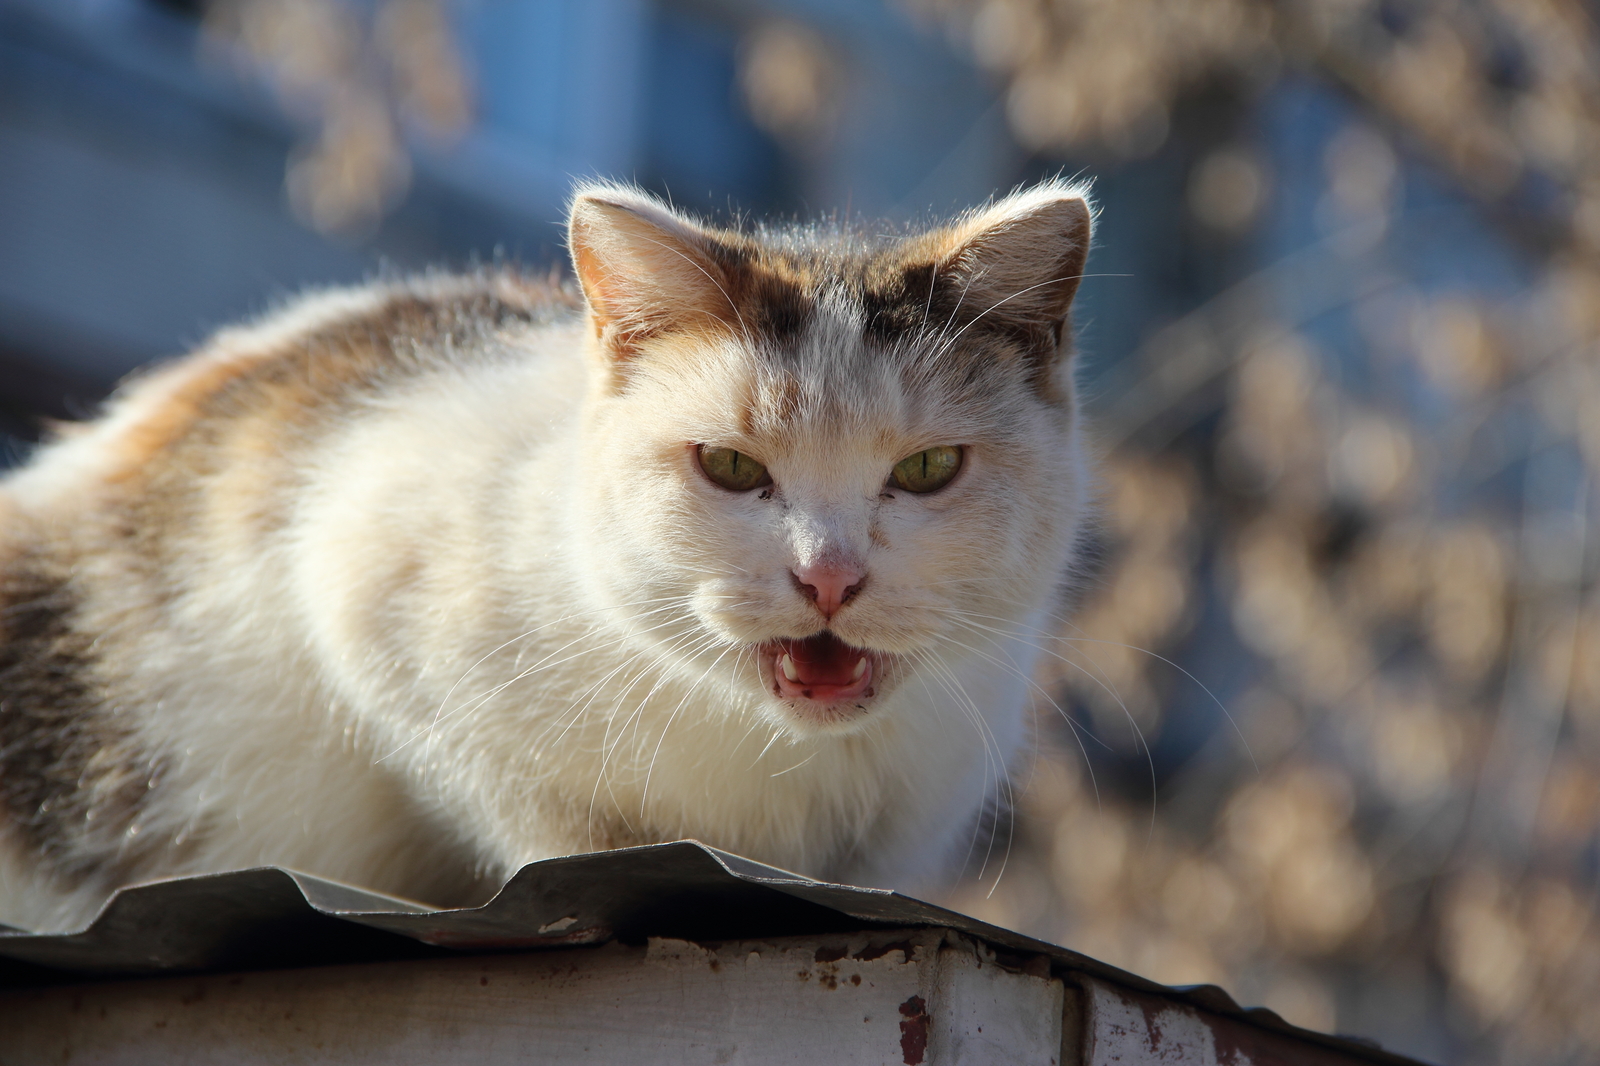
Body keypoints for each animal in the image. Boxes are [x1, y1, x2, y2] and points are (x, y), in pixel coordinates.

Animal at [0, 178, 1094, 928]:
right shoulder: (364, 589)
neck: (785, 758)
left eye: (929, 469)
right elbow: (552, 828)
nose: (828, 576)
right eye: (730, 465)